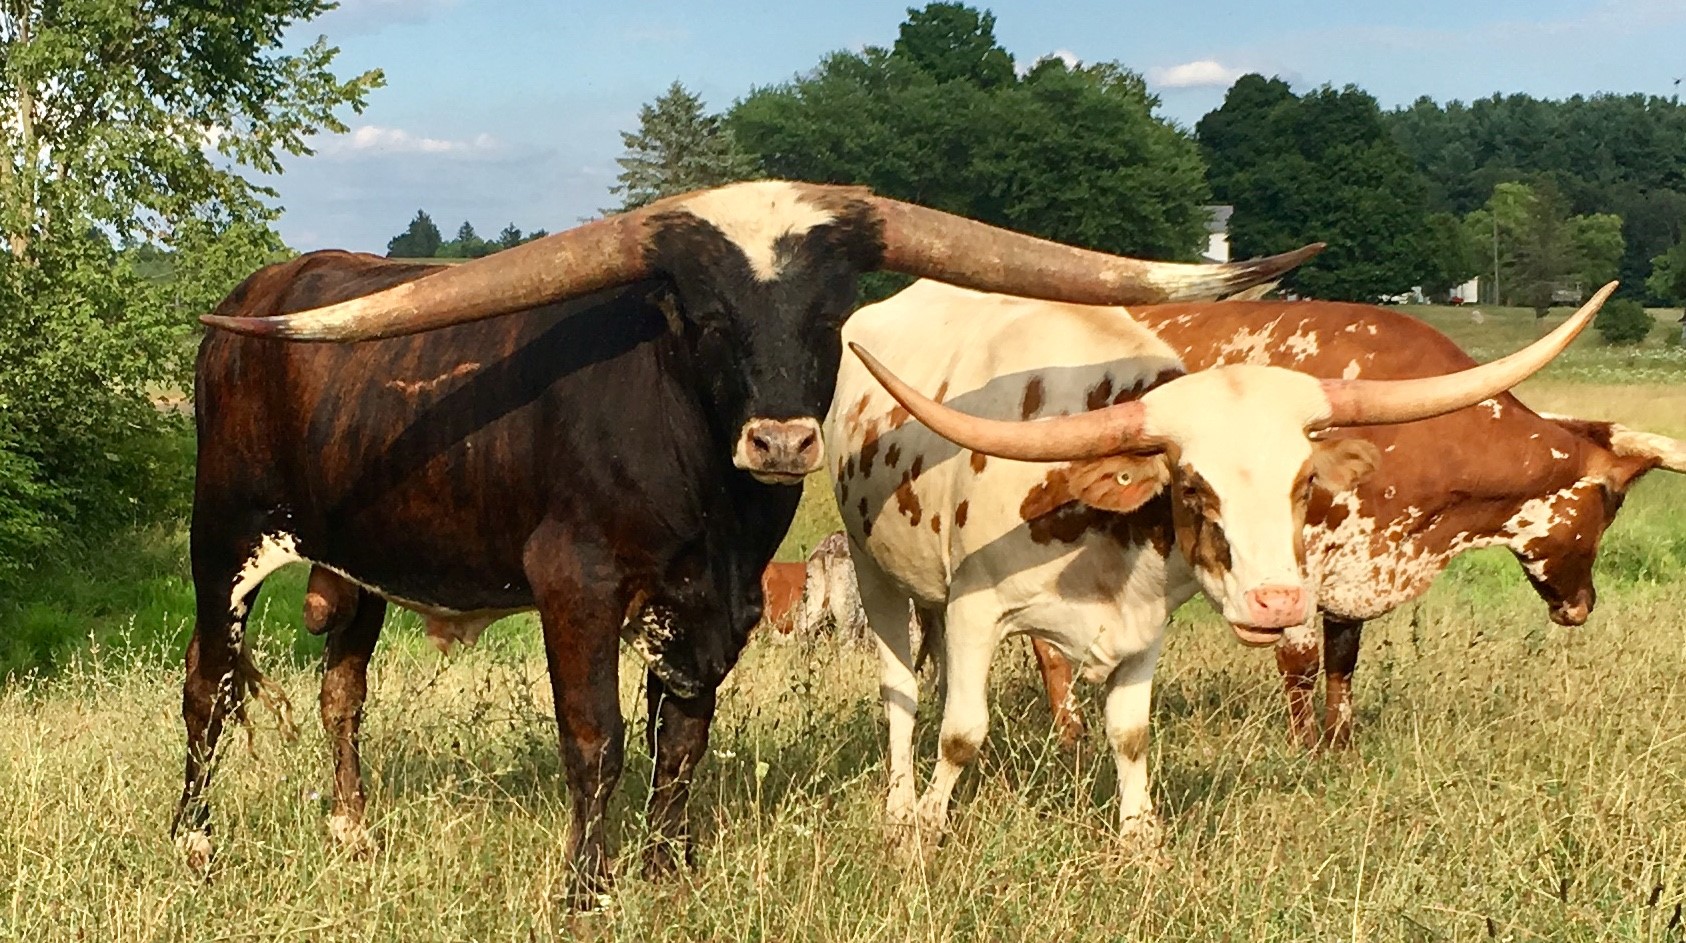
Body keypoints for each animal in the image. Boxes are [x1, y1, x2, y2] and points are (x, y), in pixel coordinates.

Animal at [181, 180, 1311, 904]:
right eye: (704, 311)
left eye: (832, 308)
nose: (780, 439)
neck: (701, 484)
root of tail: (253, 301)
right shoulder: (577, 586)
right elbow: (597, 740)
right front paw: (587, 890)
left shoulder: (710, 606)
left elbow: (682, 740)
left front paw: (668, 874)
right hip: (223, 537)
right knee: (208, 688)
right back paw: (195, 845)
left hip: (355, 566)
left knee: (341, 690)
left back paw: (352, 830)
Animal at [826, 279, 1612, 851]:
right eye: (1195, 486)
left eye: (1304, 482)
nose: (1277, 603)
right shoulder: (975, 612)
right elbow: (961, 732)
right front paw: (925, 830)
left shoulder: (1144, 627)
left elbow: (1131, 735)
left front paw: (1140, 841)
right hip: (876, 574)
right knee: (901, 690)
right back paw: (900, 803)